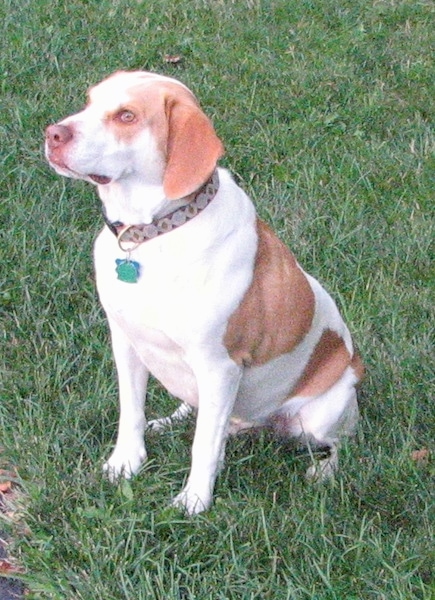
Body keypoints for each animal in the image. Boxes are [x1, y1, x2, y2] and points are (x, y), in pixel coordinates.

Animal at [45, 72, 364, 516]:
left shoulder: (218, 367)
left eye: (127, 116)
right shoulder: (125, 342)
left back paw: (321, 471)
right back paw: (169, 422)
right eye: (89, 102)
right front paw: (124, 464)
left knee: (338, 445)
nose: (52, 133)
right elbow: (131, 413)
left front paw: (193, 500)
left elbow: (203, 447)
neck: (153, 236)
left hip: (321, 414)